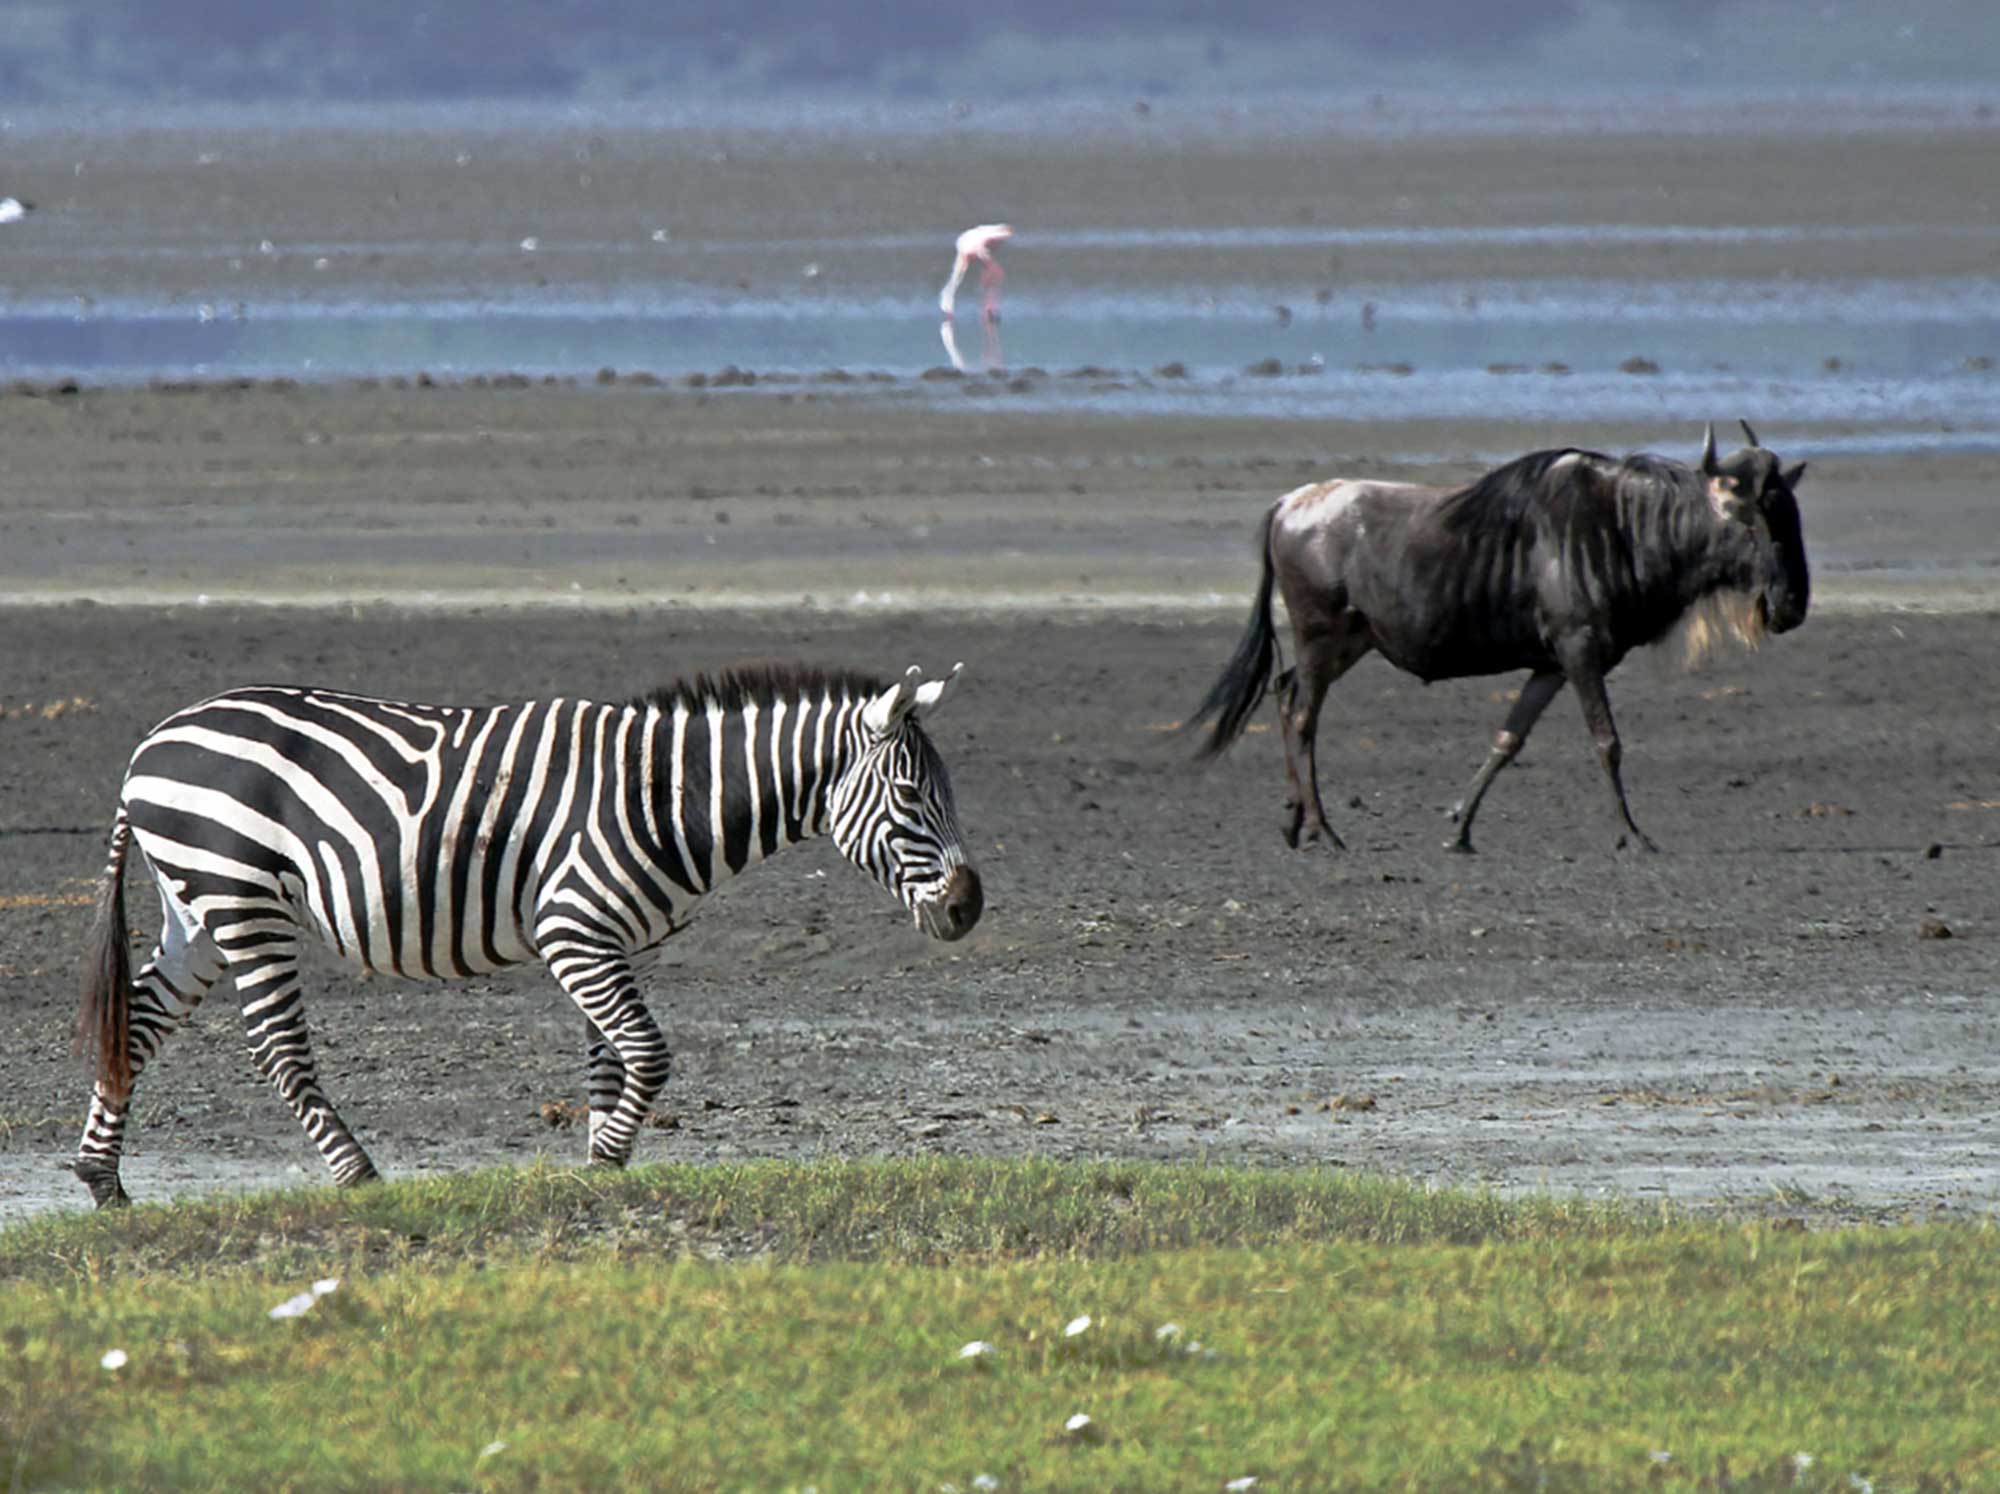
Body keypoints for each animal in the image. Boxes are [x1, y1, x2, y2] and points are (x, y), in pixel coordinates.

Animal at [74, 660, 980, 1208]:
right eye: (910, 795)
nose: (969, 908)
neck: (669, 794)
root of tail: (152, 741)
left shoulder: (608, 941)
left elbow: (610, 1062)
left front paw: (601, 1168)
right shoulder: (572, 929)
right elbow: (650, 1054)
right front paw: (608, 1162)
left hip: (195, 908)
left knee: (139, 1021)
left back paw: (101, 1180)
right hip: (241, 894)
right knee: (276, 1047)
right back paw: (359, 1176)